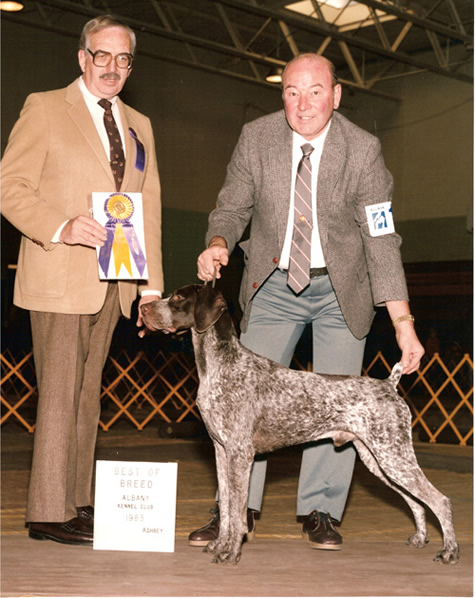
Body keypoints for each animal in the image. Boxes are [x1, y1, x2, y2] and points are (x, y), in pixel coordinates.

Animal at [139, 286, 460, 568]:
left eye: (178, 298)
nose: (144, 308)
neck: (221, 365)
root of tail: (388, 384)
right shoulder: (221, 451)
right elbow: (227, 508)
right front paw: (219, 545)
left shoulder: (240, 454)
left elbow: (237, 512)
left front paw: (230, 553)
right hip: (379, 461)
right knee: (416, 501)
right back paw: (420, 538)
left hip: (393, 456)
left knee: (440, 500)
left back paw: (449, 552)